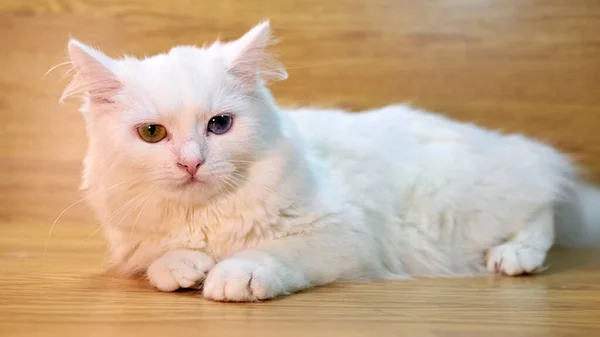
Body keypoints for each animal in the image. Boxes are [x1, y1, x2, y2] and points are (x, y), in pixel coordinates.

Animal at [61, 20, 600, 300]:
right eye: (152, 134)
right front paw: (184, 267)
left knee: (542, 207)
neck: (208, 217)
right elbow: (160, 261)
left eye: (219, 125)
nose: (191, 163)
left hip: (461, 207)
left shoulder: (340, 233)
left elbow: (271, 252)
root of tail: (501, 142)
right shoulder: (136, 247)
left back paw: (514, 257)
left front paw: (234, 276)